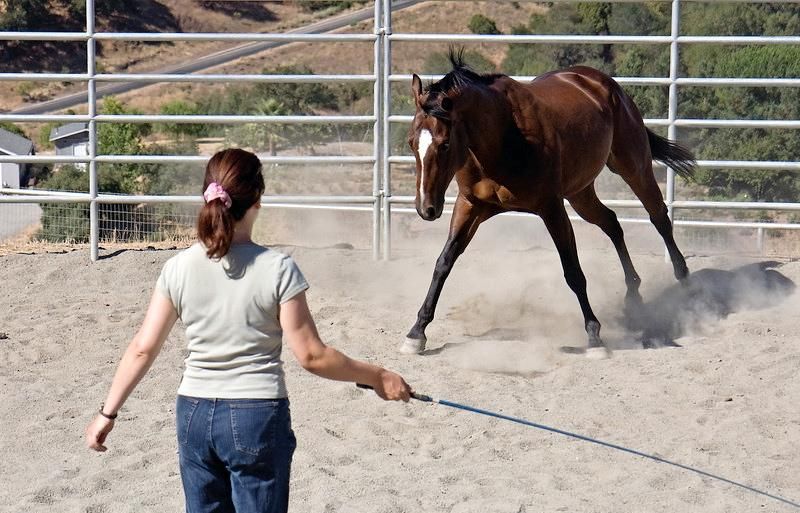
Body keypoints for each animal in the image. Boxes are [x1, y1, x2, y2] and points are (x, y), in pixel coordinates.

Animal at [402, 52, 696, 359]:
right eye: (411, 142)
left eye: (445, 144)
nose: (426, 208)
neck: (506, 136)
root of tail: (602, 82)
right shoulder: (469, 205)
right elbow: (443, 263)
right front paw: (416, 333)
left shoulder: (552, 208)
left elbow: (573, 272)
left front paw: (594, 337)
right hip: (581, 193)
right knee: (612, 223)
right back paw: (634, 294)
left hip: (633, 166)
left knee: (658, 217)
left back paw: (685, 284)